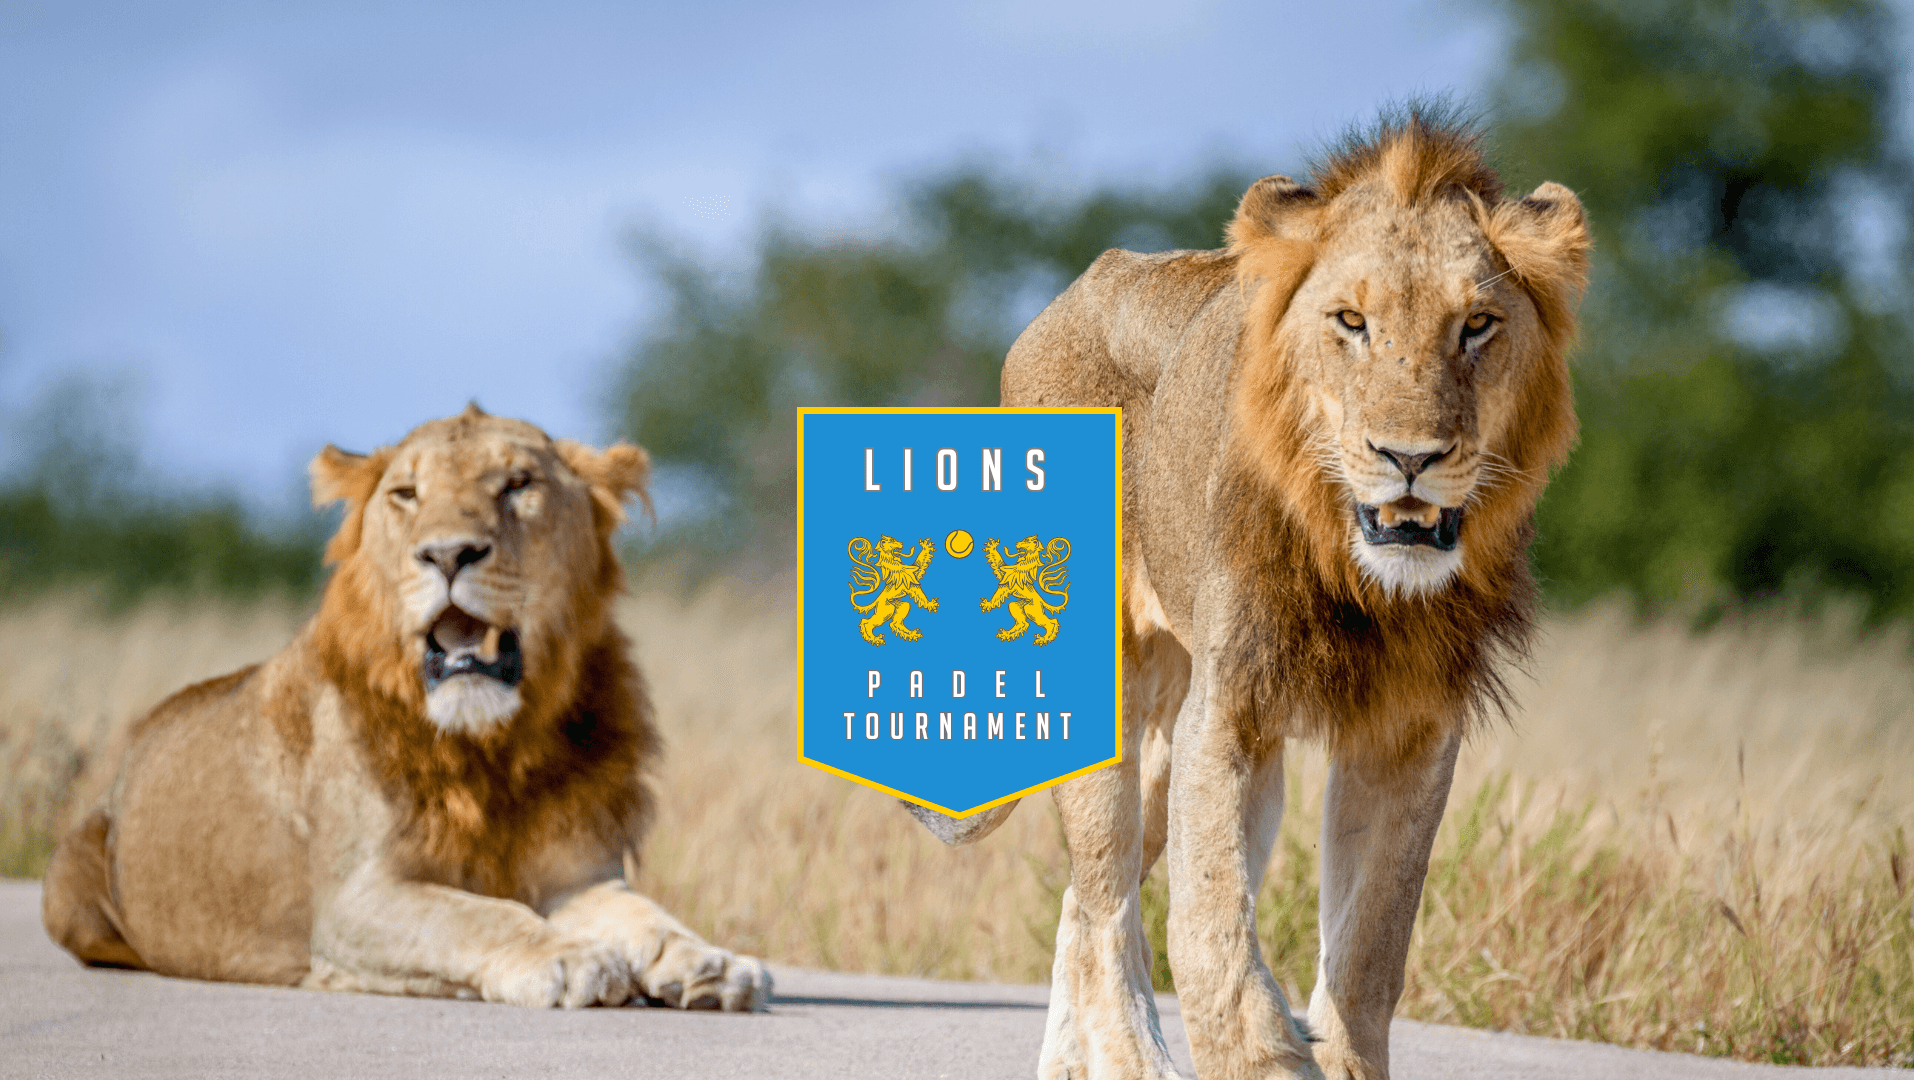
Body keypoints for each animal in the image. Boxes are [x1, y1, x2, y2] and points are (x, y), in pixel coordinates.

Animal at [41, 405, 771, 1012]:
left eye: (517, 484)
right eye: (406, 494)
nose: (448, 553)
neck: (496, 743)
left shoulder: (579, 875)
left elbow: (648, 917)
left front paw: (710, 963)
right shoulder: (353, 900)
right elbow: (475, 914)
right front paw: (568, 958)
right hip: (67, 887)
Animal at [905, 108, 1587, 1079]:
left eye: (1478, 326)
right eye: (1352, 322)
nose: (1409, 457)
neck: (1361, 579)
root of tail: (1066, 298)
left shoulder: (1410, 730)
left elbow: (1371, 946)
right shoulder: (1227, 709)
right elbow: (1207, 927)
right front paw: (1264, 1051)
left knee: (1085, 897)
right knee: (1108, 902)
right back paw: (1138, 1063)